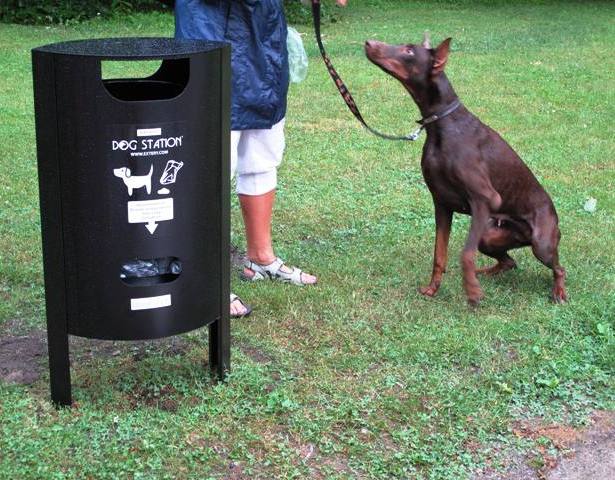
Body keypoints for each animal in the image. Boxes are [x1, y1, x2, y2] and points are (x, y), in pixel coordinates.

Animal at [366, 33, 568, 306]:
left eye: (409, 51)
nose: (368, 43)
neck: (442, 124)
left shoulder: (484, 199)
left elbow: (465, 254)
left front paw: (471, 291)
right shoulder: (441, 203)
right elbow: (439, 254)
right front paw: (433, 289)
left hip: (541, 243)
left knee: (559, 268)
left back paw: (558, 291)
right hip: (490, 236)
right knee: (509, 261)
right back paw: (487, 273)